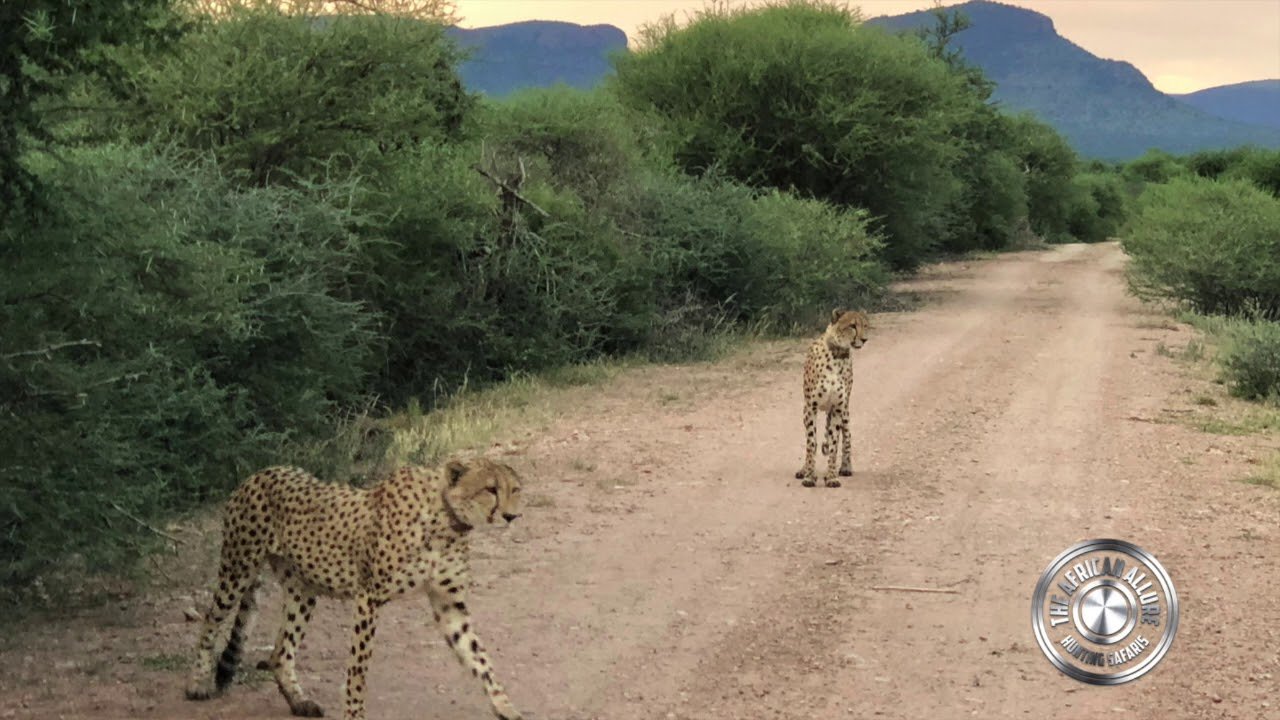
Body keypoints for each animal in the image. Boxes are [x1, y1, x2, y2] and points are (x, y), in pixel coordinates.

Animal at [184, 456, 525, 720]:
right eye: (490, 489)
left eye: (515, 489)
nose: (512, 516)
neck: (445, 518)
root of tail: (261, 472)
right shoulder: (369, 597)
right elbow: (358, 668)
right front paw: (354, 712)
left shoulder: (449, 604)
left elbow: (479, 657)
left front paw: (505, 706)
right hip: (237, 568)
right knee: (211, 621)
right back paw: (196, 684)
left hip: (302, 590)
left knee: (282, 650)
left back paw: (299, 701)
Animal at [795, 308, 870, 487]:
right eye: (852, 326)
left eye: (865, 325)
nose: (864, 339)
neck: (837, 354)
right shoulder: (810, 408)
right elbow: (811, 443)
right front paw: (809, 476)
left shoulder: (837, 408)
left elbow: (834, 444)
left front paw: (831, 477)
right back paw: (804, 470)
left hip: (845, 413)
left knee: (847, 438)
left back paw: (845, 467)